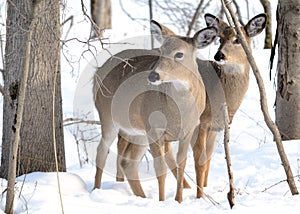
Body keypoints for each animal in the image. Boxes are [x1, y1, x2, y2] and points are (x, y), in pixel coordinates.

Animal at [92, 20, 217, 202]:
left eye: (179, 54)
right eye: (161, 51)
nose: (153, 76)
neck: (179, 112)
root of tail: (98, 71)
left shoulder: (188, 130)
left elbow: (181, 163)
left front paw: (178, 200)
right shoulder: (155, 128)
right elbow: (160, 169)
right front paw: (162, 201)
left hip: (138, 131)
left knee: (128, 162)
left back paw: (141, 196)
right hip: (108, 116)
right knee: (102, 151)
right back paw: (96, 189)